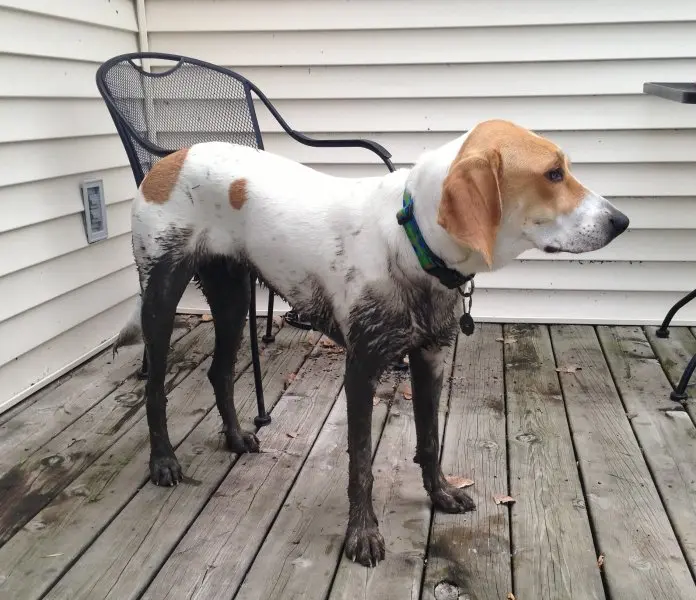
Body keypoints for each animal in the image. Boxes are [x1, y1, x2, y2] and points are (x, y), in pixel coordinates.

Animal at [115, 118, 632, 568]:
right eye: (553, 173)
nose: (622, 221)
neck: (411, 242)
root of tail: (172, 158)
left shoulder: (430, 356)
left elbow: (430, 438)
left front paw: (440, 493)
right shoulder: (361, 369)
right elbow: (360, 462)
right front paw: (362, 533)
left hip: (232, 296)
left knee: (218, 369)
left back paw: (237, 436)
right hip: (161, 295)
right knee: (154, 385)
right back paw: (163, 461)